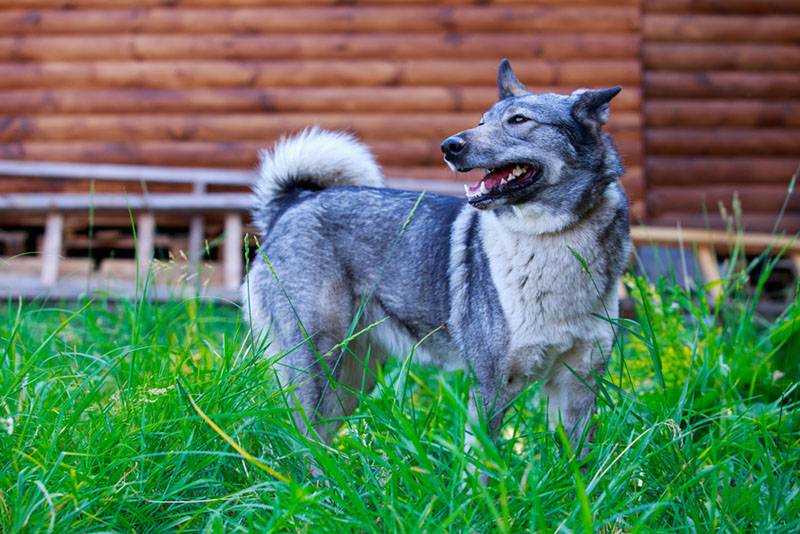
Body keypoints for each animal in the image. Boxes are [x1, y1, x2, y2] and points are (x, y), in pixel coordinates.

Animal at [242, 59, 632, 468]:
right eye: (481, 121)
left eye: (519, 120)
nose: (449, 146)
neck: (551, 238)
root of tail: (292, 204)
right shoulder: (491, 385)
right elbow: (482, 467)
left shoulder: (577, 387)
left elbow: (579, 467)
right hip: (316, 361)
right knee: (297, 436)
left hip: (352, 378)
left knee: (318, 434)